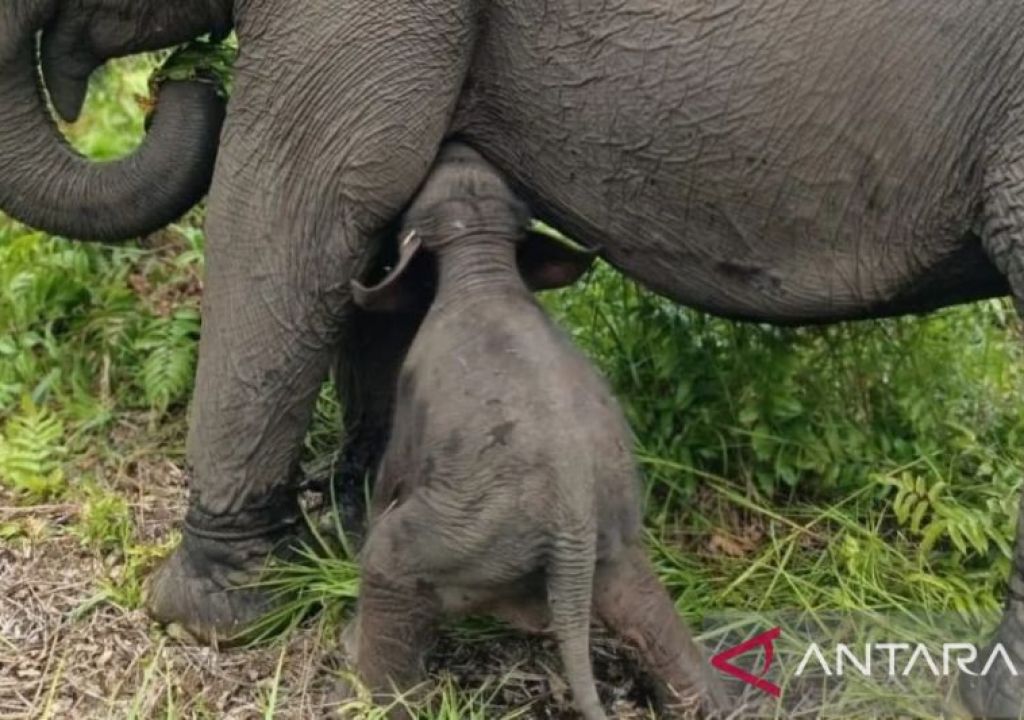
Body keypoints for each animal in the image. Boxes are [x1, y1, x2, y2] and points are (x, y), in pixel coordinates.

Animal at [348, 142, 733, 720]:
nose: (455, 142)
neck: (482, 260)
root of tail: (571, 528)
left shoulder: (412, 395)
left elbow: (390, 477)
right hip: (614, 548)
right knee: (651, 614)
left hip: (465, 540)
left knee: (387, 560)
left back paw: (361, 684)